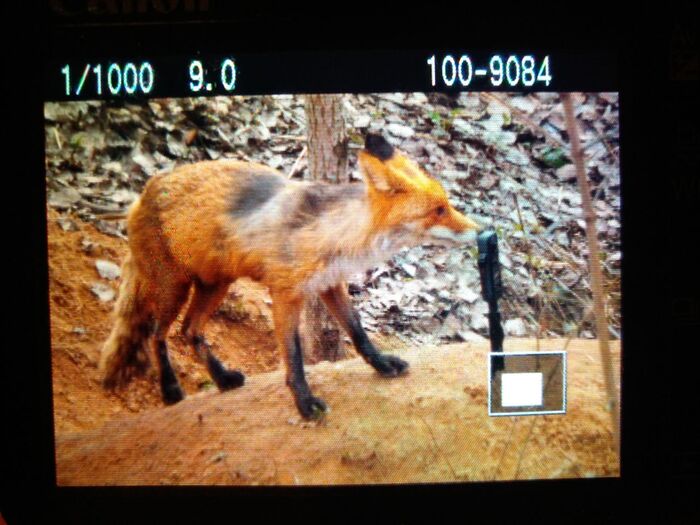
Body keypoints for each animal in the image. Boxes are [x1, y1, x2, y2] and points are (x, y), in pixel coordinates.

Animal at [99, 133, 480, 420]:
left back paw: (222, 379)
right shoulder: (285, 293)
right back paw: (170, 390)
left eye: (447, 204)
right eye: (438, 210)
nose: (481, 231)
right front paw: (304, 402)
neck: (333, 233)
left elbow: (358, 332)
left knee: (189, 331)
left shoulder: (329, 284)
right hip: (174, 287)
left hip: (216, 284)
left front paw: (382, 365)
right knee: (157, 335)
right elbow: (294, 356)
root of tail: (141, 193)